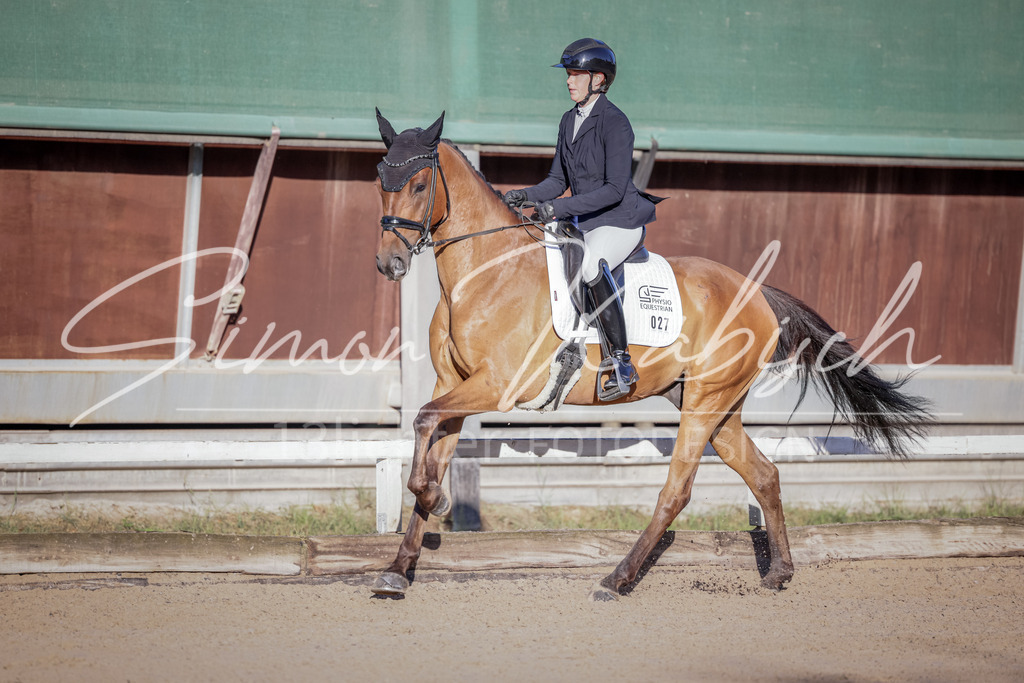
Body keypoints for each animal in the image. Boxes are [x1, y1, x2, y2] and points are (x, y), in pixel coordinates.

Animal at [370, 110, 930, 601]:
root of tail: (756, 292)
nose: (388, 263)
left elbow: (422, 422)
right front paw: (398, 568)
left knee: (676, 492)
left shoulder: (497, 387)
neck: (484, 271)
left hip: (705, 403)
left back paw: (615, 580)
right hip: (715, 407)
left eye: (418, 185)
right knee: (764, 475)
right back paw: (779, 574)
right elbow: (430, 441)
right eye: (381, 179)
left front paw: (435, 499)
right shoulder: (454, 386)